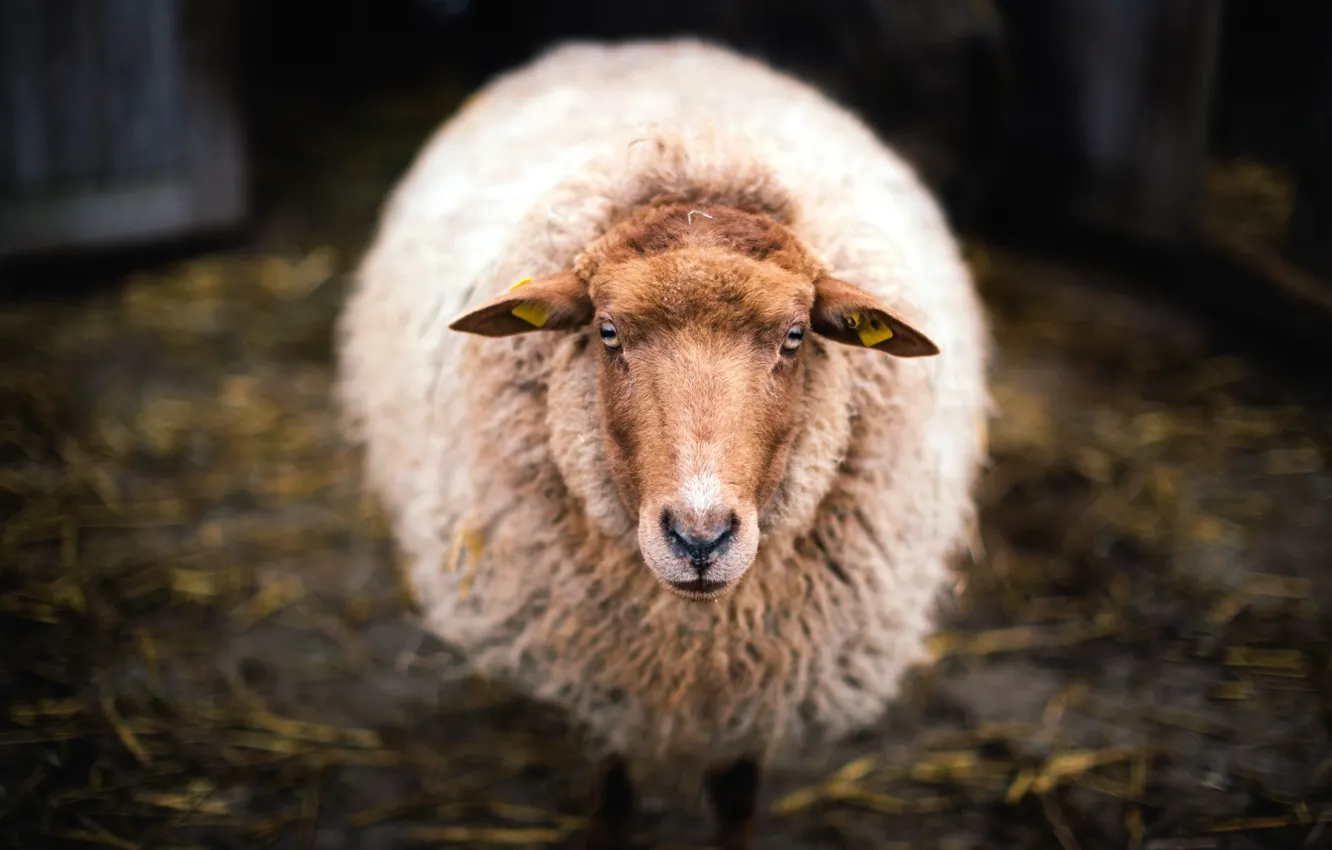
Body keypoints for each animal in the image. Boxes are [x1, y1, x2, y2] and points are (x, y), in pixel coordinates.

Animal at [335, 38, 990, 849]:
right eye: (607, 331)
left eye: (795, 335)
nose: (699, 538)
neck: (693, 640)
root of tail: (635, 46)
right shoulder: (602, 678)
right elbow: (614, 785)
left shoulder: (758, 689)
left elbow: (736, 796)